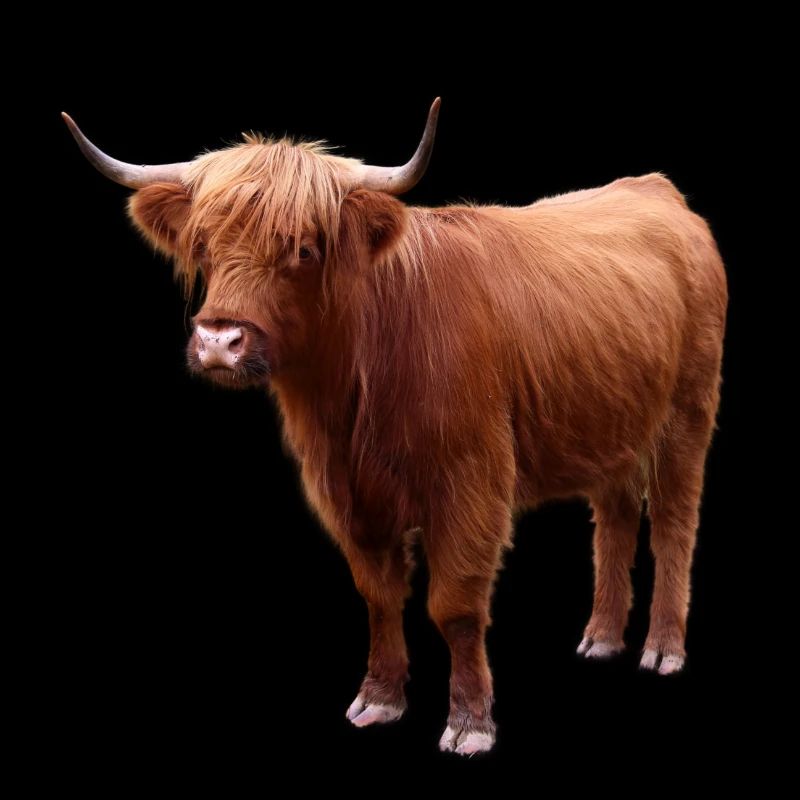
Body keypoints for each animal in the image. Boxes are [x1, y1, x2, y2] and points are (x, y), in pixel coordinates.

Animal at [64, 100, 727, 755]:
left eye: (304, 249)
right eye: (202, 245)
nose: (219, 342)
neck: (355, 397)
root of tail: (652, 188)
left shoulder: (471, 484)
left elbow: (454, 603)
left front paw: (470, 722)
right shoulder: (347, 491)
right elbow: (378, 593)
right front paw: (379, 698)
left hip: (688, 413)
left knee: (674, 522)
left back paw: (662, 648)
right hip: (613, 424)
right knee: (615, 517)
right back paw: (602, 637)